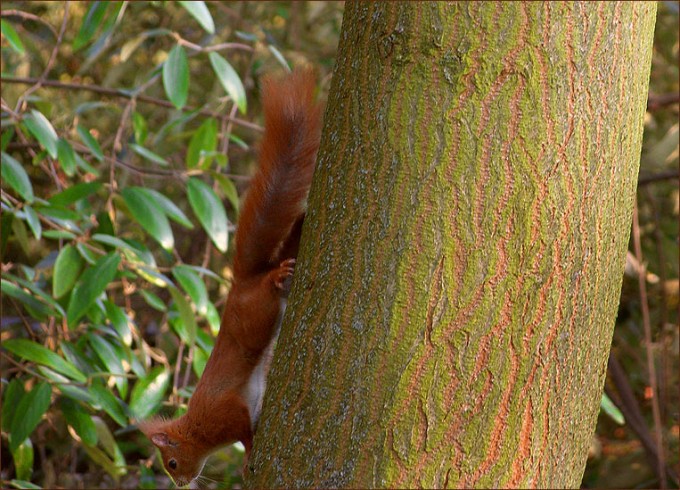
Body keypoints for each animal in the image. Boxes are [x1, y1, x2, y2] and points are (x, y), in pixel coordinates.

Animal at [139, 69, 322, 487]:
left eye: (171, 463)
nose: (180, 484)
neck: (196, 428)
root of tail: (241, 284)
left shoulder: (225, 415)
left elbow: (244, 431)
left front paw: (247, 455)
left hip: (256, 314)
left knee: (268, 287)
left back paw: (277, 277)